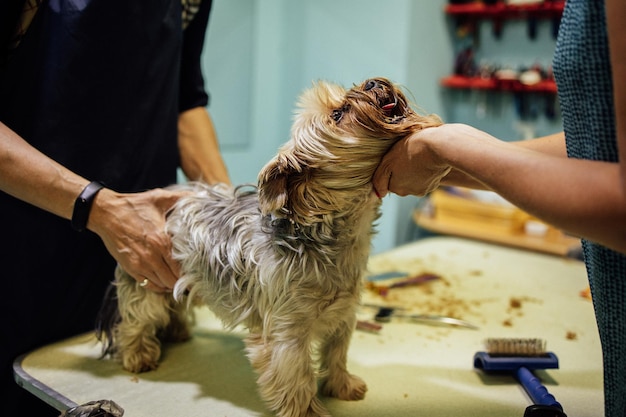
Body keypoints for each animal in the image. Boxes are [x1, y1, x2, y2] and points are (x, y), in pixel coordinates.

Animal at [96, 76, 438, 414]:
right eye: (338, 115)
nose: (371, 83)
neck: (331, 238)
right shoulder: (287, 331)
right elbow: (297, 378)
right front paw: (308, 411)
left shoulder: (344, 313)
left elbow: (337, 352)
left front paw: (342, 386)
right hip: (145, 275)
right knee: (136, 319)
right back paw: (138, 355)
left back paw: (177, 331)